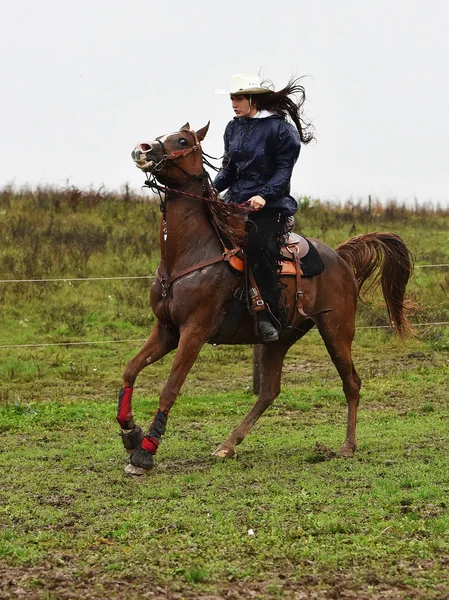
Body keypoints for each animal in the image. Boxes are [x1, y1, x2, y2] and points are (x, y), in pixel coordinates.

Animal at [117, 122, 412, 476]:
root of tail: (340, 257)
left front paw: (145, 452)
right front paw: (130, 432)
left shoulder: (194, 333)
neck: (190, 254)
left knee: (351, 382)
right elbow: (130, 370)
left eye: (183, 140)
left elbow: (170, 389)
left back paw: (347, 446)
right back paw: (227, 445)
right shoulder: (166, 330)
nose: (143, 148)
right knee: (270, 391)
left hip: (336, 331)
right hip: (280, 338)